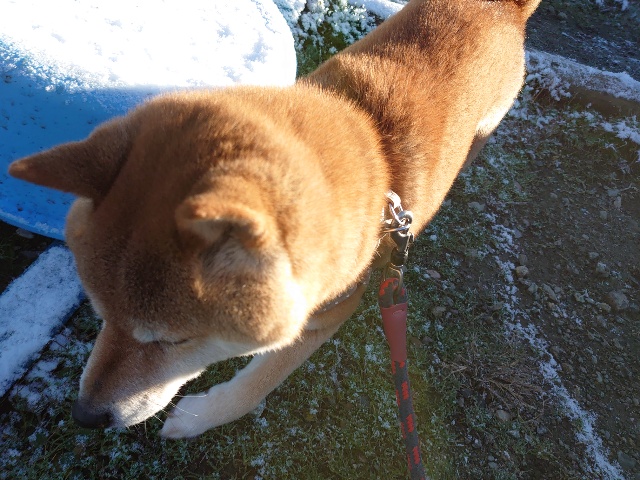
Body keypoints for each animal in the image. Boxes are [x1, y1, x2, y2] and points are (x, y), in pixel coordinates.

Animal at [9, 0, 540, 438]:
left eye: (173, 340)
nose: (85, 416)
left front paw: (197, 418)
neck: (367, 140)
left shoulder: (329, 312)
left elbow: (257, 382)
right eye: (99, 313)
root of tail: (505, 7)